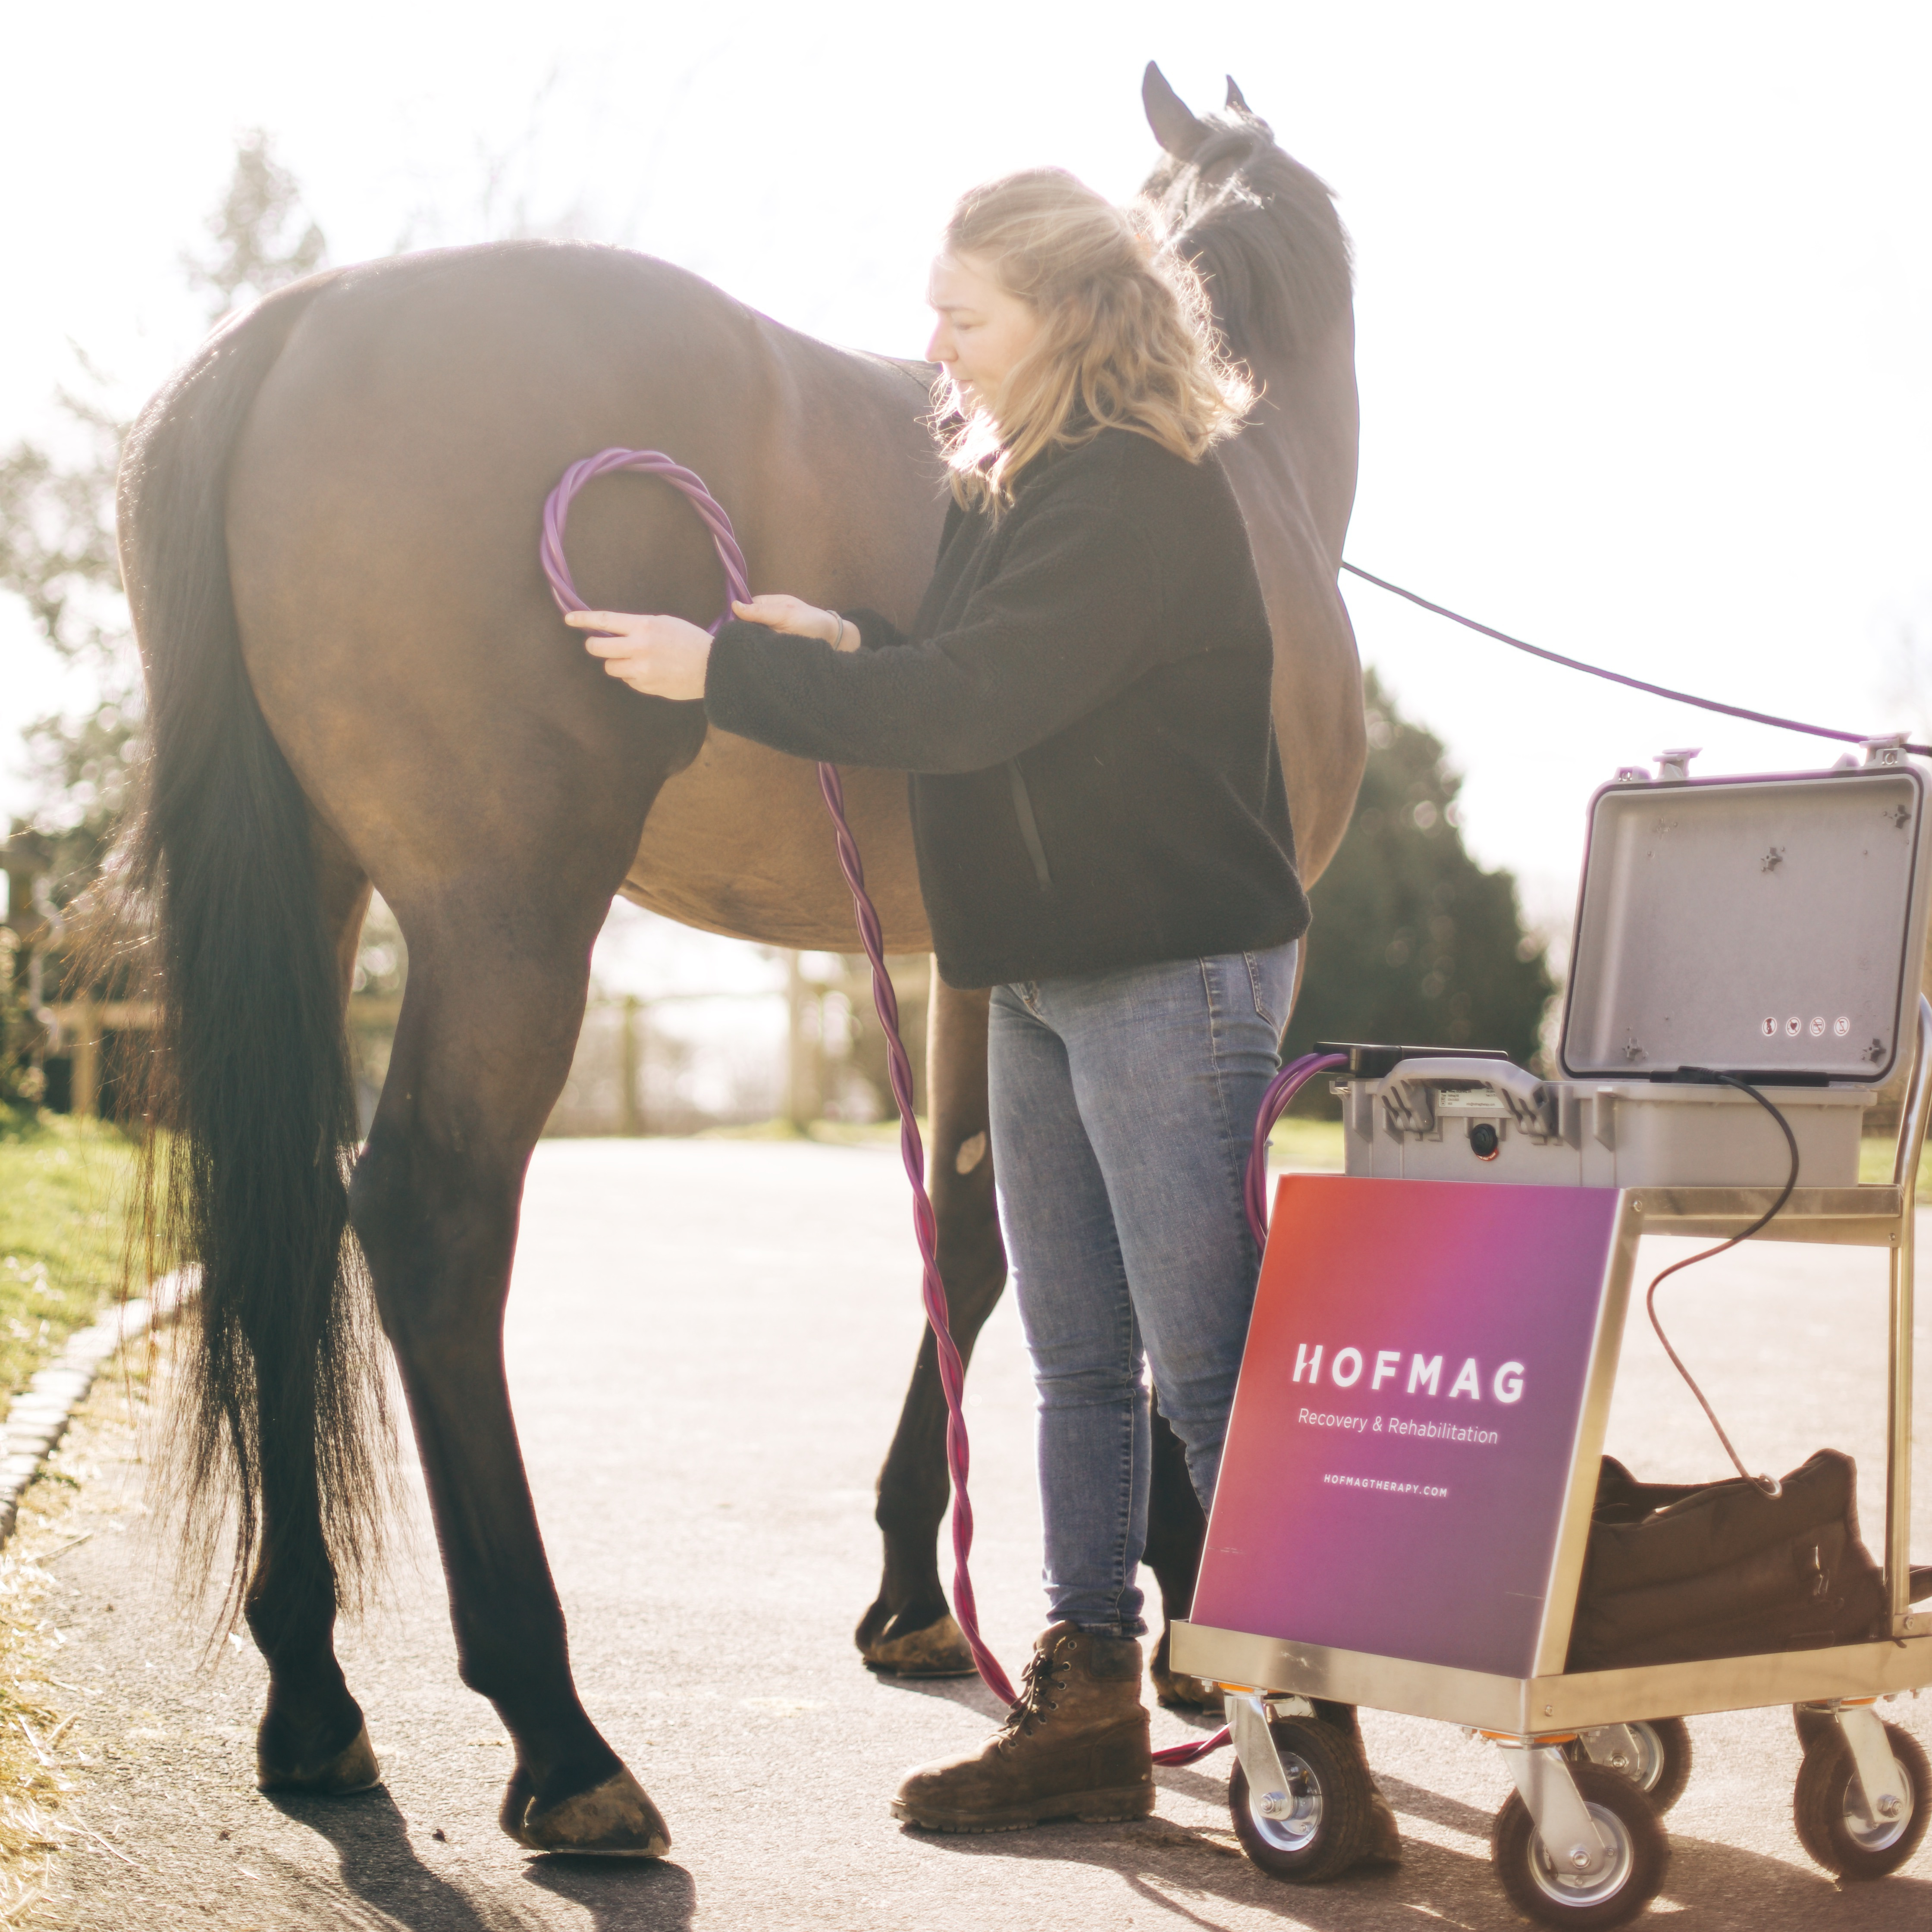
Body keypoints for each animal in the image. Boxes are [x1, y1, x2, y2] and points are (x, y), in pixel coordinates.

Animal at [115, 63, 1364, 1853]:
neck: (1224, 450)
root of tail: (297, 326)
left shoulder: (978, 963)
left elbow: (981, 1234)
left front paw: (918, 1589)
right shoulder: (1231, 954)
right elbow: (1164, 1246)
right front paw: (1192, 1603)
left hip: (321, 896)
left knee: (287, 1225)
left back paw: (314, 1702)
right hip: (509, 924)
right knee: (427, 1219)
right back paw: (560, 1736)